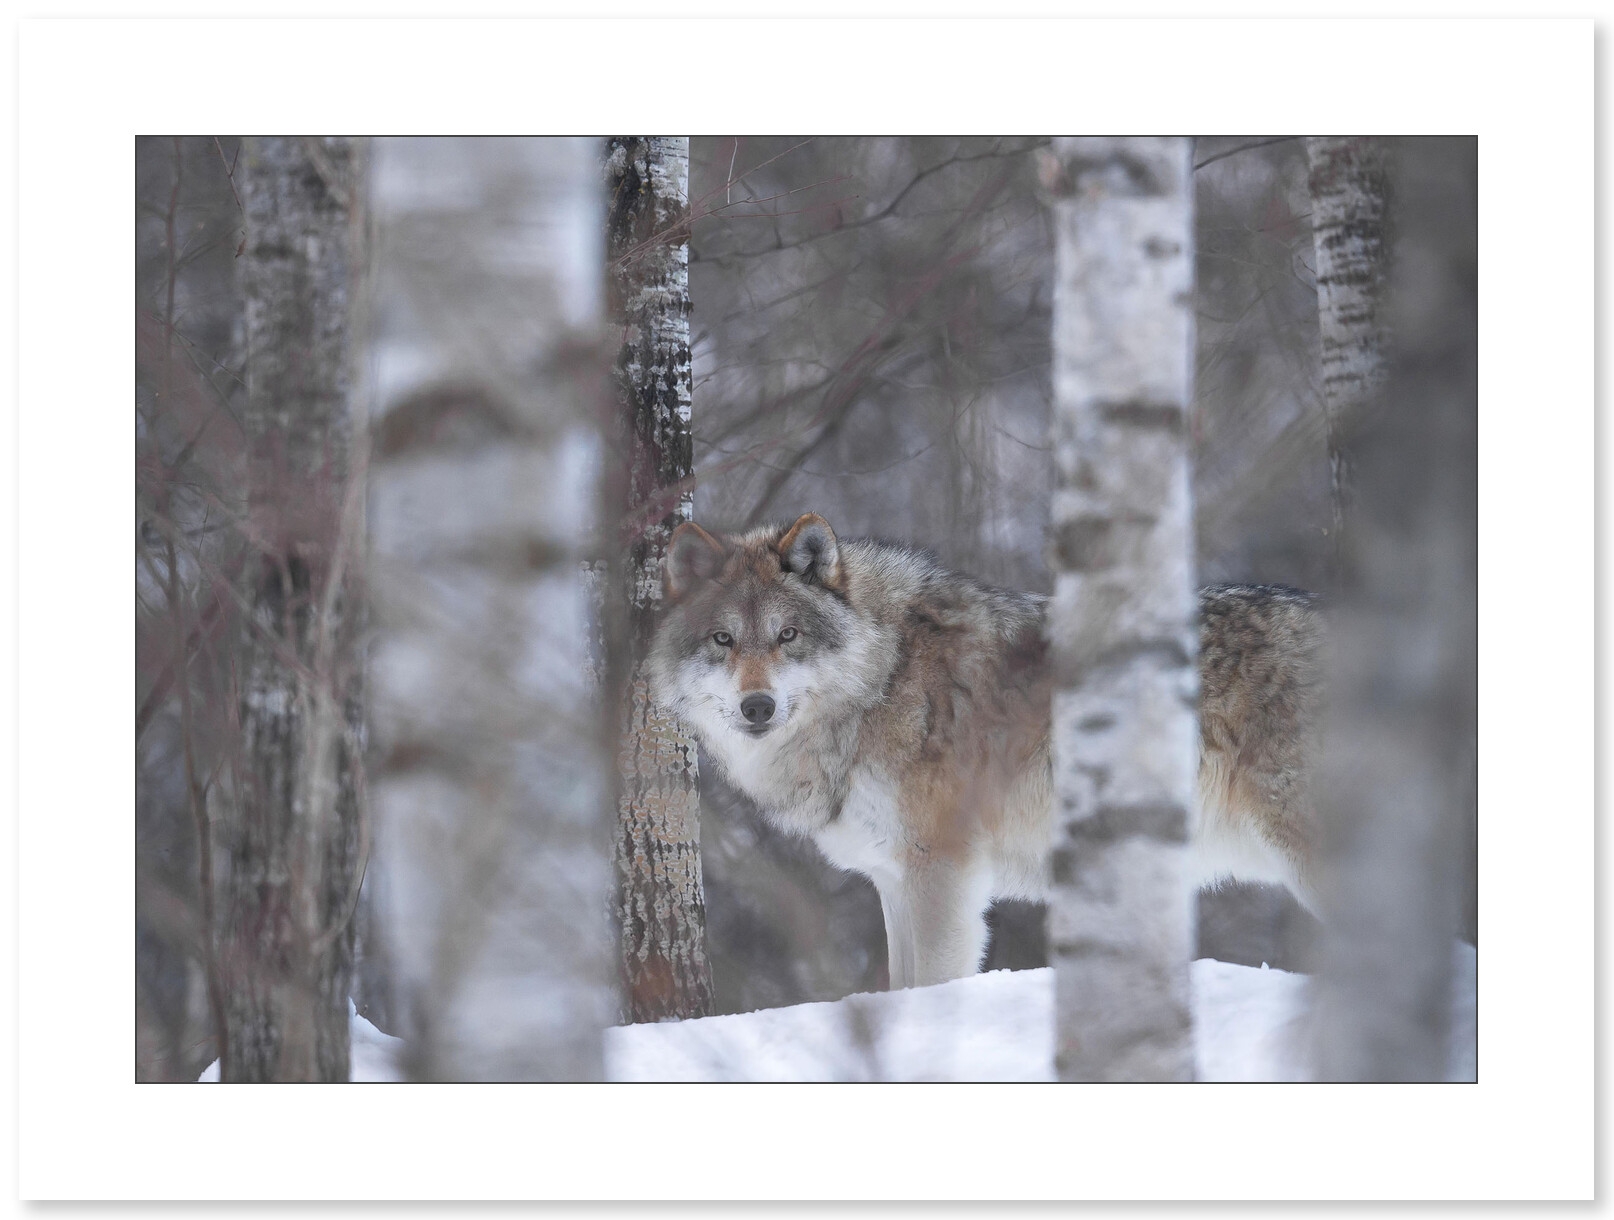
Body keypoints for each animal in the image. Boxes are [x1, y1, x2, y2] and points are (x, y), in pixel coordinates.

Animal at [647, 512, 1323, 989]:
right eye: (723, 640)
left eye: (787, 636)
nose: (756, 707)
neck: (883, 682)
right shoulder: (893, 878)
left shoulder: (942, 871)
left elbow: (932, 985)